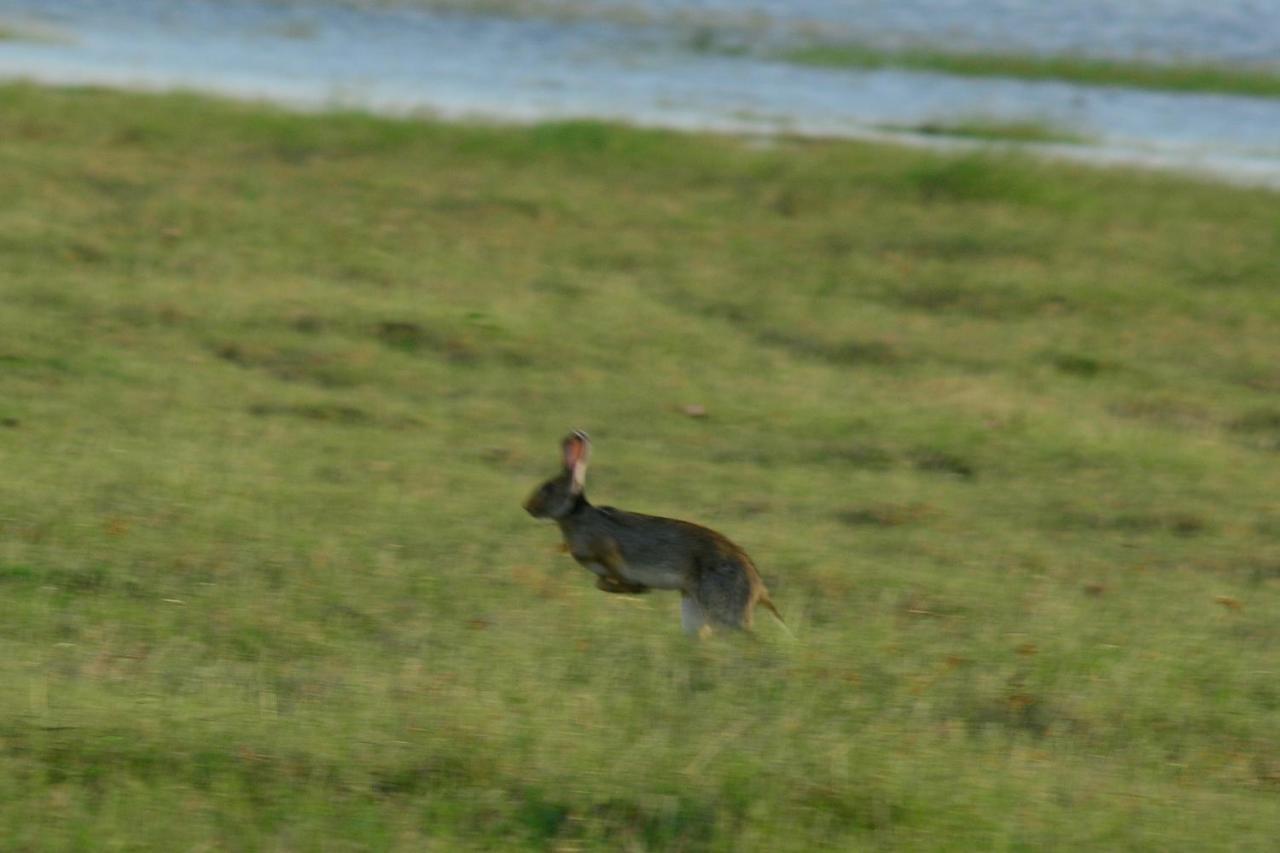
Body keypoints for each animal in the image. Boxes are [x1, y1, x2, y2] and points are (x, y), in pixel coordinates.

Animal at [517, 427, 778, 635]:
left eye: (547, 488)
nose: (527, 506)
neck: (575, 515)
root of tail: (759, 589)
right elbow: (600, 584)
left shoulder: (610, 551)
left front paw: (634, 588)